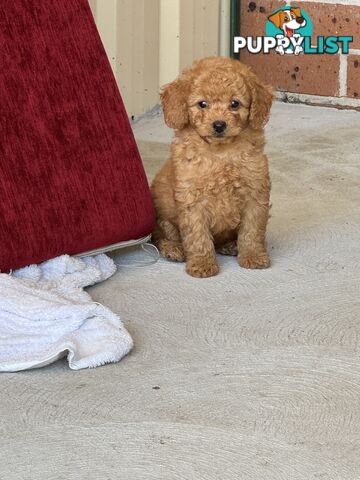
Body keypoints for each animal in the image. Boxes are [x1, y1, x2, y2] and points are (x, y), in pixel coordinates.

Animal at [151, 58, 272, 280]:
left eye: (234, 104)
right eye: (202, 104)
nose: (219, 125)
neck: (220, 153)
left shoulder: (255, 193)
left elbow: (252, 230)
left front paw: (253, 256)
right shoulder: (192, 200)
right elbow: (198, 236)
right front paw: (202, 264)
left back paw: (231, 245)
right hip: (163, 216)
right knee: (162, 235)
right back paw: (174, 249)